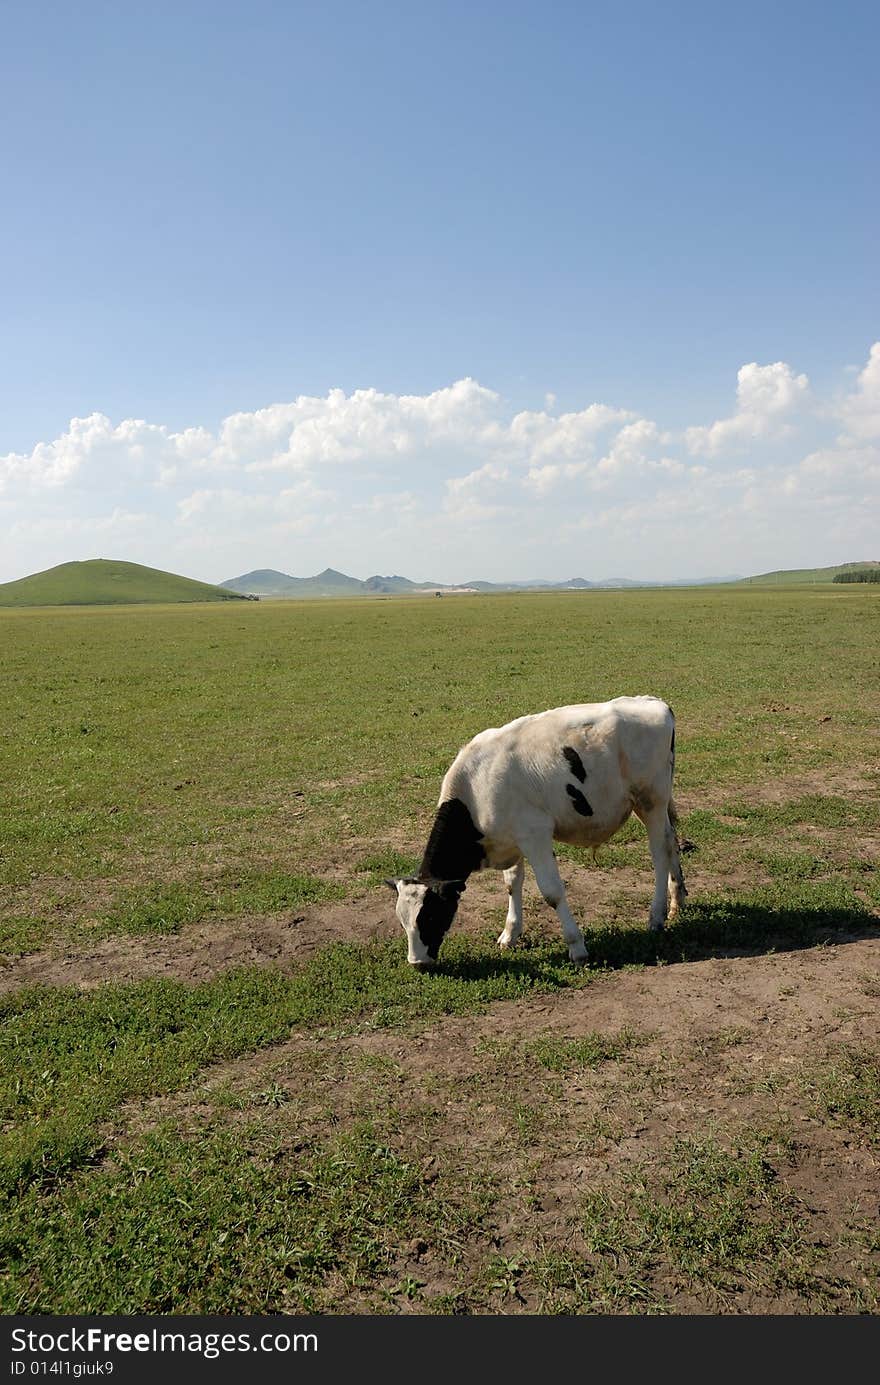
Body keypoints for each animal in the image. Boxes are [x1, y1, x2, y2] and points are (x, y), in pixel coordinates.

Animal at [388, 698, 687, 969]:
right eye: (402, 921)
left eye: (428, 916)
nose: (417, 963)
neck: (477, 788)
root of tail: (654, 702)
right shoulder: (512, 839)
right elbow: (512, 883)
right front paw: (510, 934)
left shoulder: (535, 834)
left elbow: (552, 892)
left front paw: (577, 947)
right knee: (671, 840)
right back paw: (677, 901)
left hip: (651, 801)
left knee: (660, 852)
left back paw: (656, 916)